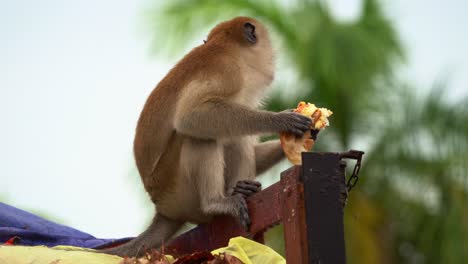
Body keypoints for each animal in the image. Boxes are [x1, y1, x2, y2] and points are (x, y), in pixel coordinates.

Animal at [103, 16, 312, 256]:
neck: (226, 47)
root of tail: (163, 209)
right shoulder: (228, 72)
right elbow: (190, 117)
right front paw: (284, 120)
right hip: (177, 190)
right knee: (198, 136)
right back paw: (217, 202)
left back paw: (242, 190)